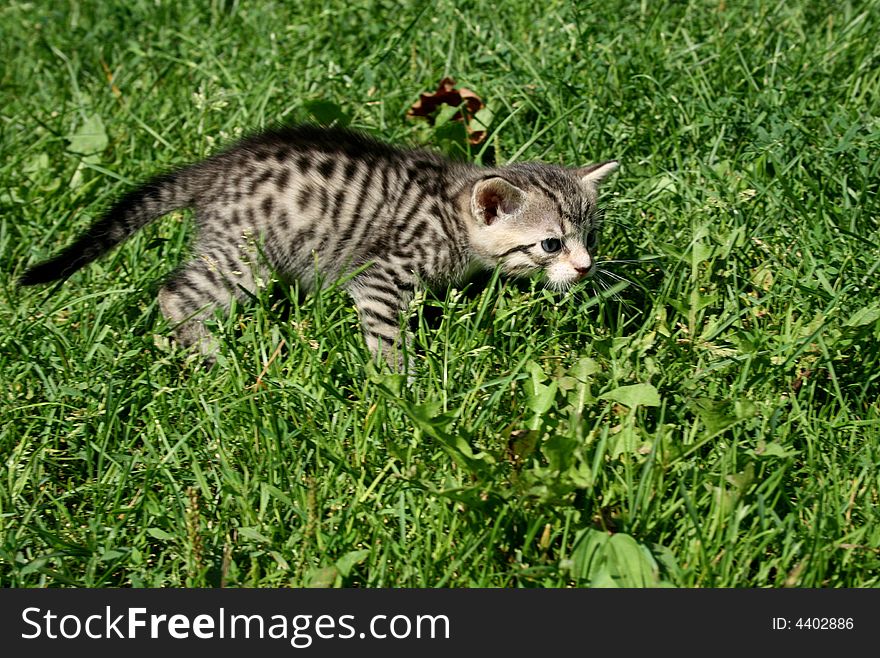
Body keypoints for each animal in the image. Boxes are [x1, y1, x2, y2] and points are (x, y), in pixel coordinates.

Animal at [17, 124, 616, 364]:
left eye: (589, 236)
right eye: (551, 244)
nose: (586, 267)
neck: (451, 211)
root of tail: (218, 167)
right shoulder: (381, 274)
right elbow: (385, 334)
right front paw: (400, 384)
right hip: (245, 256)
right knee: (175, 292)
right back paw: (213, 354)